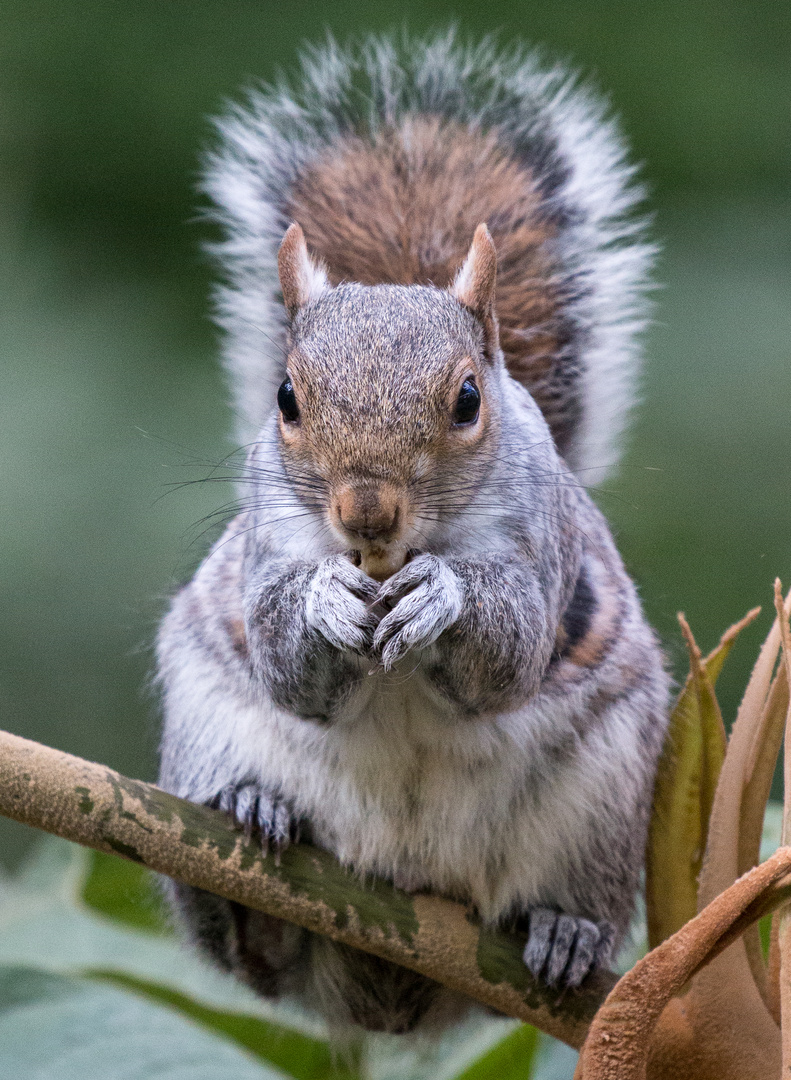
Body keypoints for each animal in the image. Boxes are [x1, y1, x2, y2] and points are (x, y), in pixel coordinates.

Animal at [157, 31, 669, 1028]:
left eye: (468, 399)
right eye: (286, 397)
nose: (367, 510)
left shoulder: (542, 549)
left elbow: (507, 655)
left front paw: (440, 598)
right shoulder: (268, 543)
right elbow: (288, 666)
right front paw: (324, 601)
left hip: (605, 798)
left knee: (564, 901)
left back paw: (565, 932)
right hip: (200, 727)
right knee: (252, 955)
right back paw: (249, 823)